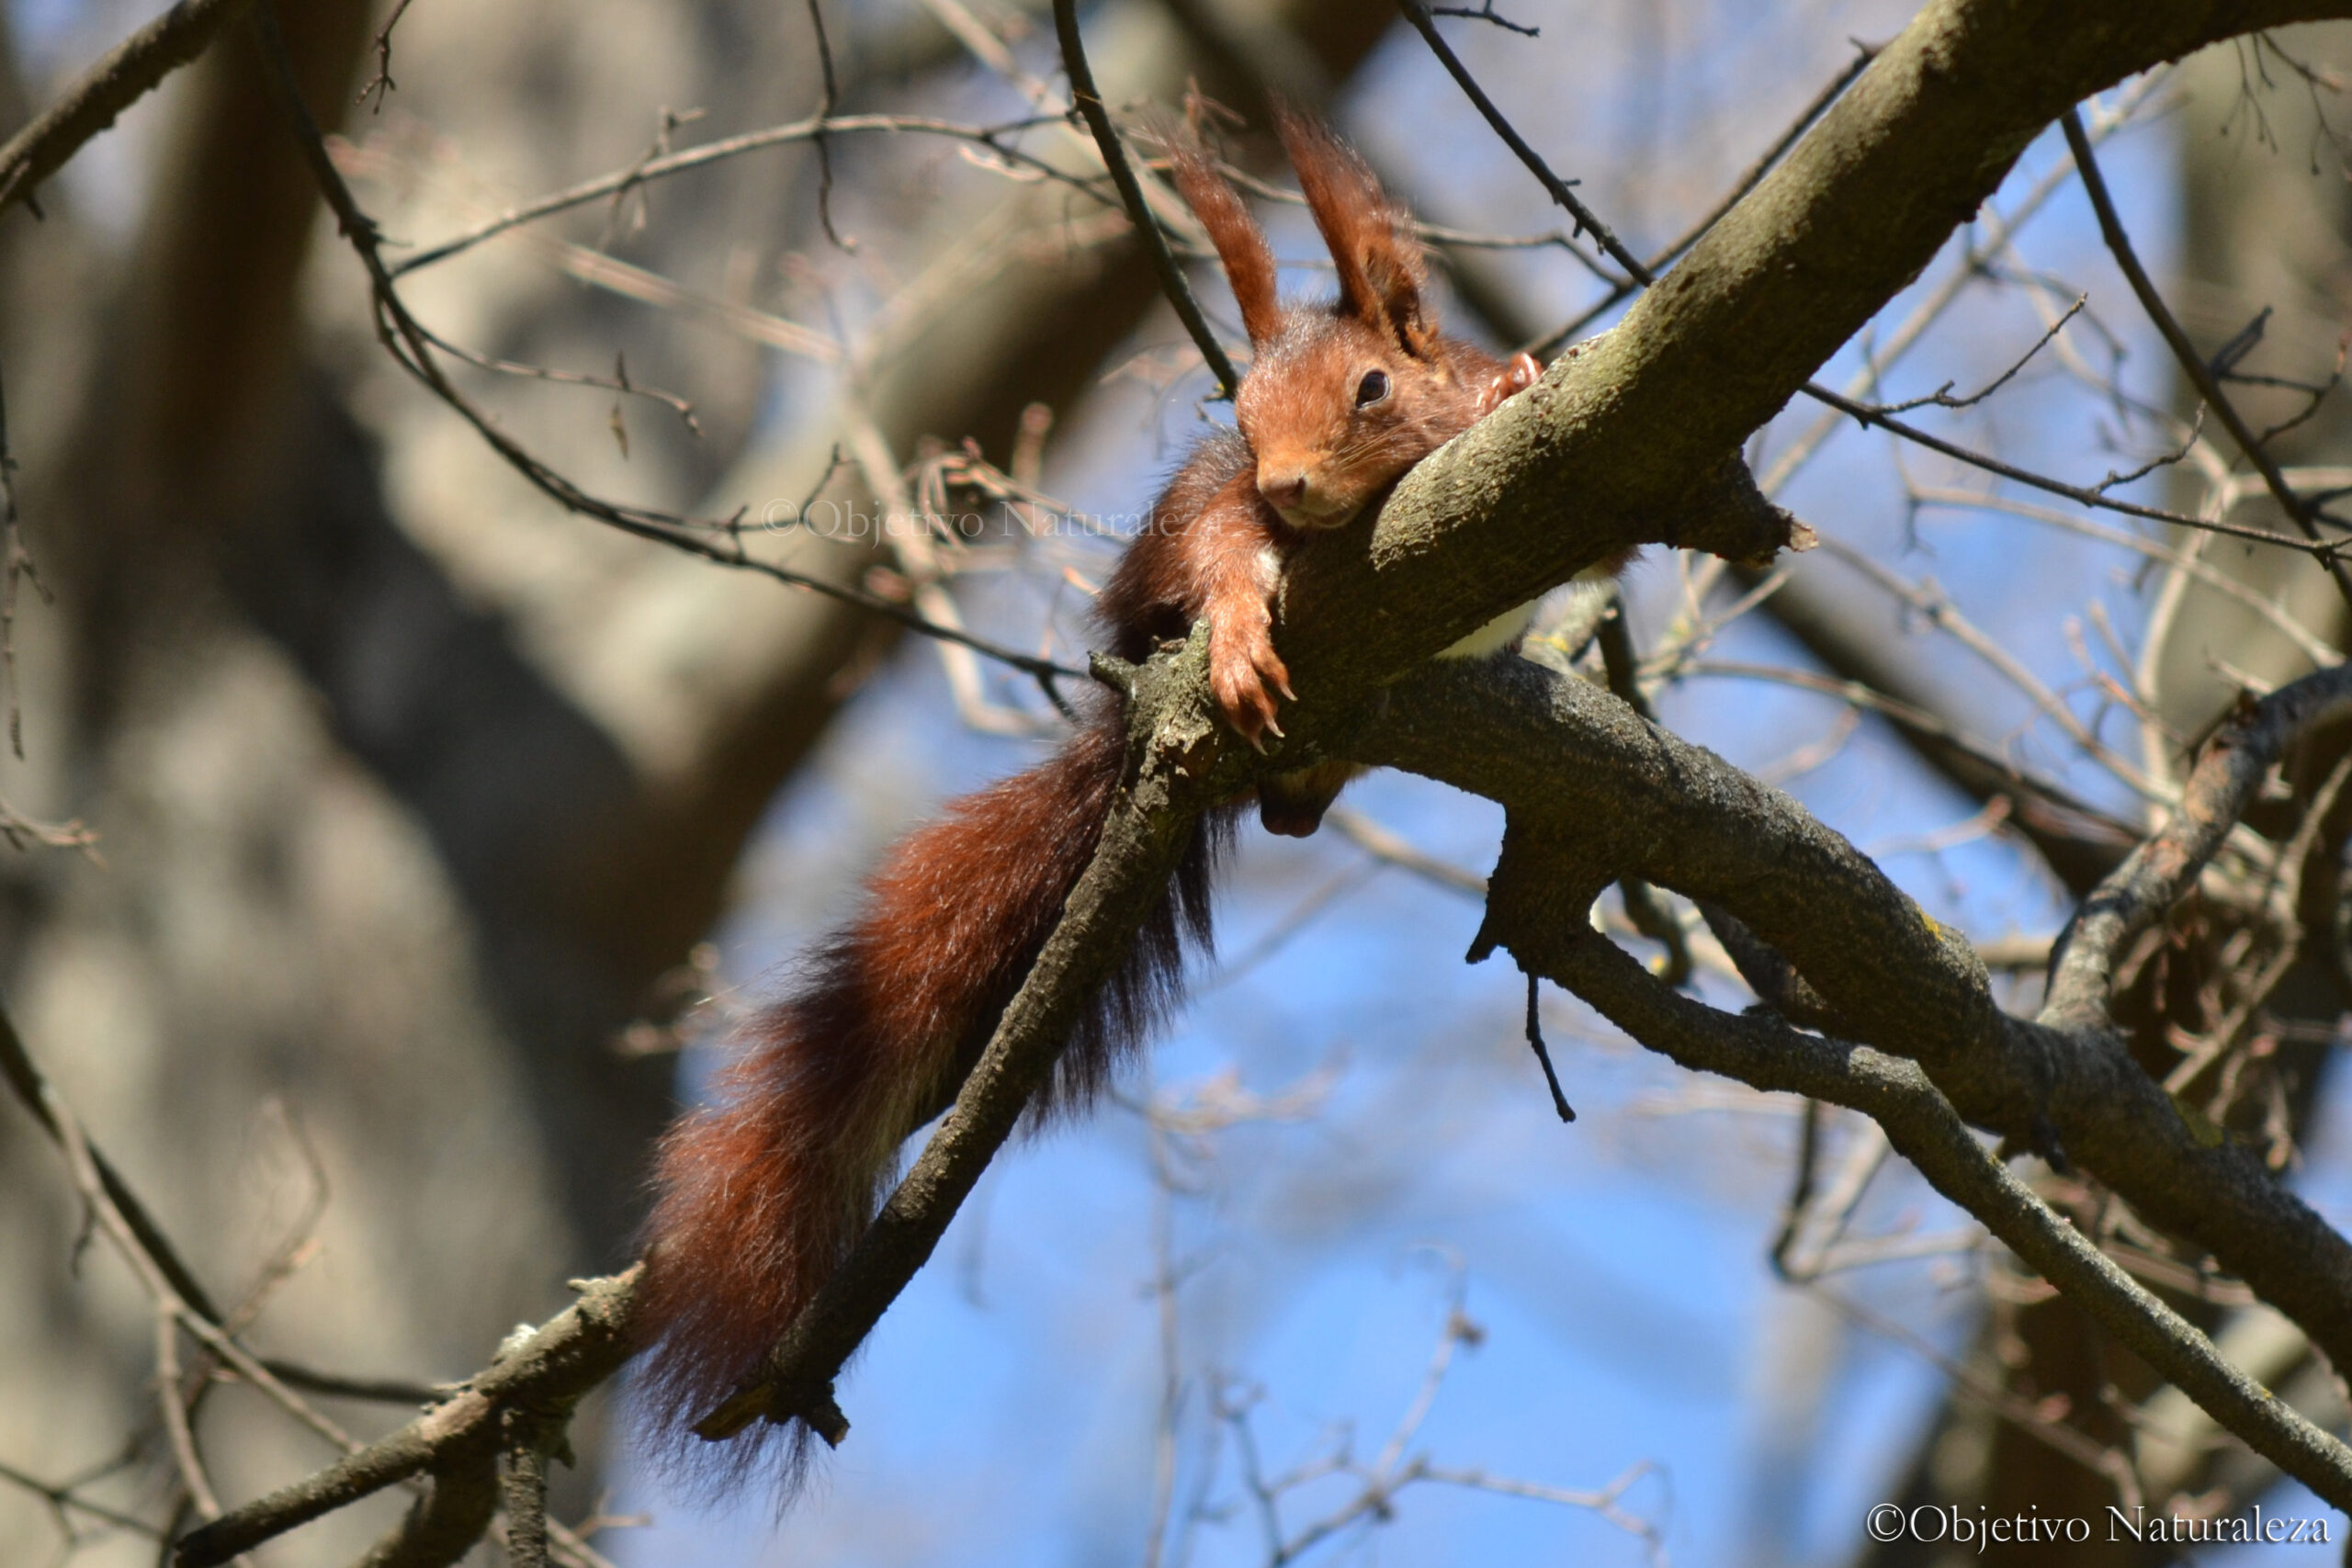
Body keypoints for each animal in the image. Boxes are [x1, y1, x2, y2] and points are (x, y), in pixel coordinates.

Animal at [635, 110, 1561, 1485]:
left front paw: (1510, 385)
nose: (1286, 484)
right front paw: (1242, 616)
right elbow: (1228, 556)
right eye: (1240, 408)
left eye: (1373, 390)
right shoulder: (1222, 508)